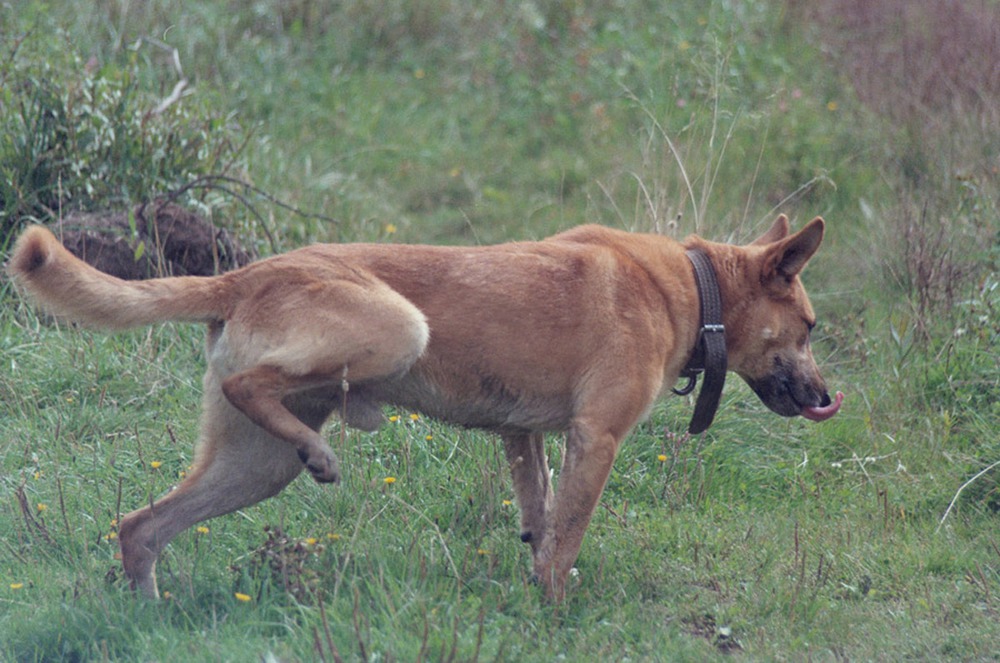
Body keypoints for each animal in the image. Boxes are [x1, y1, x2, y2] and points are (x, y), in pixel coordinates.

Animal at [7, 215, 840, 600]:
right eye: (809, 327)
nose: (828, 398)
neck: (690, 286)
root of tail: (245, 274)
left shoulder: (524, 438)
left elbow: (540, 525)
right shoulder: (594, 436)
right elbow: (564, 541)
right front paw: (556, 611)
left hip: (252, 466)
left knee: (141, 526)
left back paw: (148, 609)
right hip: (399, 330)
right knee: (254, 391)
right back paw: (324, 455)